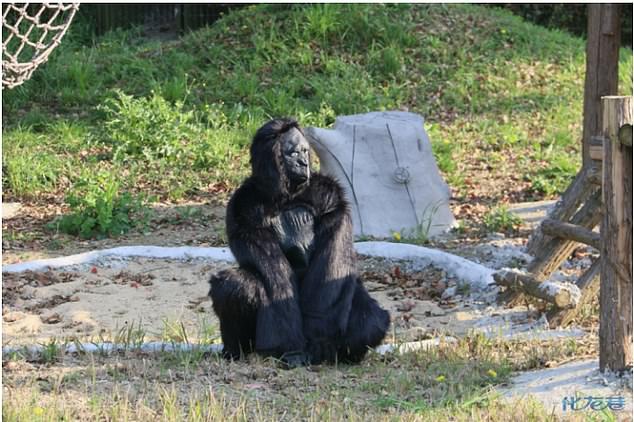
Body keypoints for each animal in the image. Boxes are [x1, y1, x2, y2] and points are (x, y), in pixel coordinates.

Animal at [210, 117, 388, 364]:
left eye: (305, 151)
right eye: (293, 153)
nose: (304, 163)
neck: (285, 196)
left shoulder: (331, 197)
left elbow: (330, 267)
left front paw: (320, 343)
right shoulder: (242, 208)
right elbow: (275, 275)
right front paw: (288, 347)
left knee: (371, 319)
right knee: (233, 284)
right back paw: (235, 353)